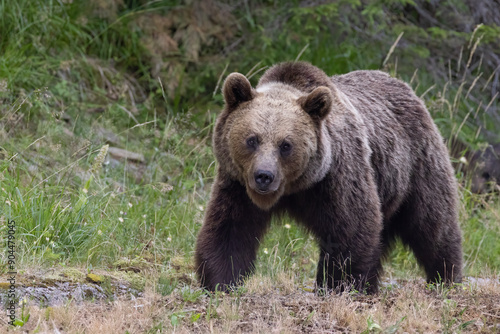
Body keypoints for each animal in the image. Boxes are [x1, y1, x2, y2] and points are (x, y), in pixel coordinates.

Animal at [193, 62, 462, 292]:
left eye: (285, 145)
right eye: (252, 139)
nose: (264, 176)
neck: (295, 188)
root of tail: (406, 88)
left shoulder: (336, 177)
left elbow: (352, 229)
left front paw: (337, 284)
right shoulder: (238, 184)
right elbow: (230, 229)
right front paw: (220, 279)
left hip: (416, 167)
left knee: (432, 224)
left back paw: (446, 277)